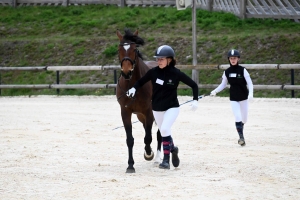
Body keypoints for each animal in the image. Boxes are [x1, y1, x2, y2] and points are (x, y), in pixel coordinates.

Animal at [115, 28, 162, 173]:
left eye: (134, 49)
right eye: (119, 49)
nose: (126, 72)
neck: (133, 85)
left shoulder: (149, 111)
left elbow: (148, 137)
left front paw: (149, 154)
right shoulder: (125, 112)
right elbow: (130, 139)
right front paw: (130, 165)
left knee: (159, 133)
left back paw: (157, 158)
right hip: (140, 116)